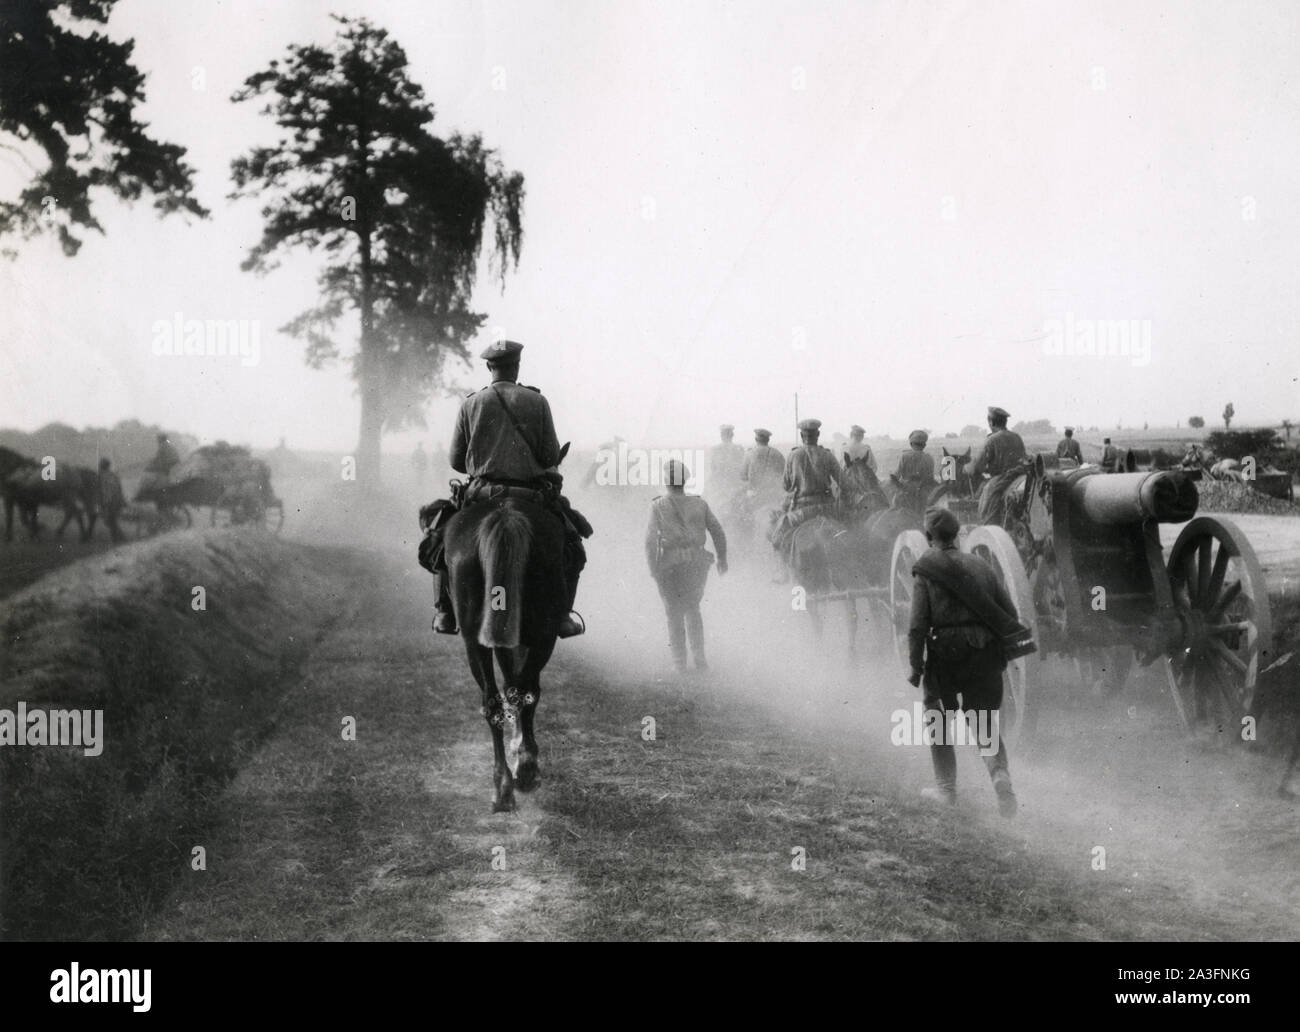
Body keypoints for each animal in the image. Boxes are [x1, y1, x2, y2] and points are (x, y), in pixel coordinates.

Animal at [444, 493, 566, 805]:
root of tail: (506, 515)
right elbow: (522, 686)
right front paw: (523, 750)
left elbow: (512, 683)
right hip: (543, 634)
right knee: (523, 691)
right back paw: (524, 769)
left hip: (476, 639)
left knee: (494, 701)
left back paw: (502, 784)